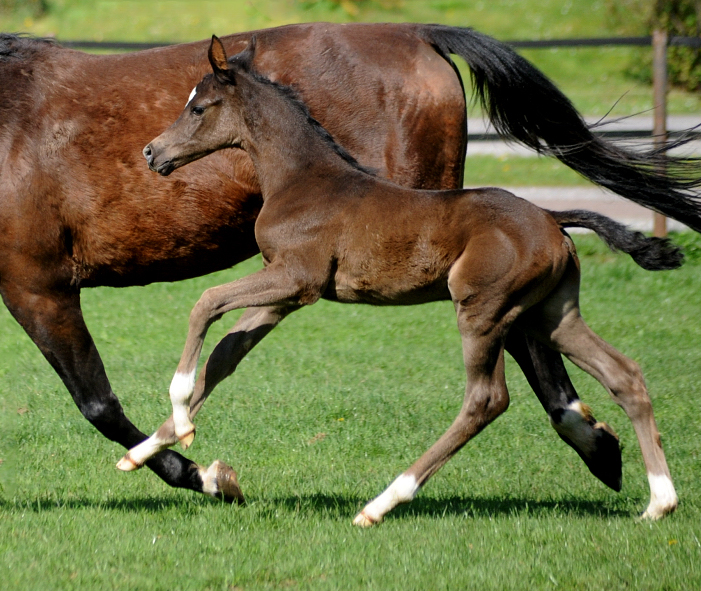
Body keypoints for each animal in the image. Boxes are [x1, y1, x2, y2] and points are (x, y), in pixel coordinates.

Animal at [0, 24, 696, 504]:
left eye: (198, 106)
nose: (151, 153)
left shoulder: (39, 285)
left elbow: (113, 388)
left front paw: (199, 465)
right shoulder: (288, 287)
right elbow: (221, 351)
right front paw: (183, 446)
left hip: (467, 283)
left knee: (503, 374)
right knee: (582, 354)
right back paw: (621, 463)